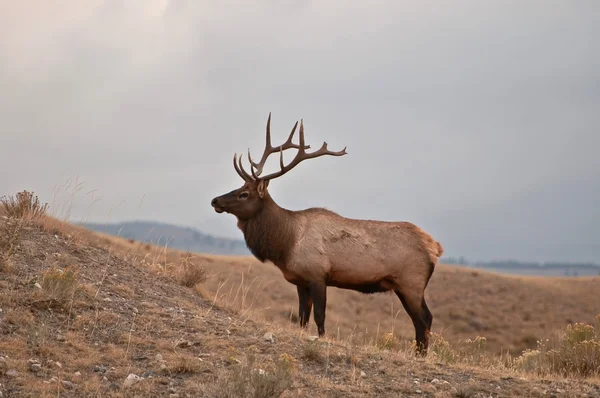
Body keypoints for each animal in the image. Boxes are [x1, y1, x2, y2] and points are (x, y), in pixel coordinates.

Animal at [210, 113, 440, 356]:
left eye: (244, 194)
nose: (215, 200)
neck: (286, 244)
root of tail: (435, 247)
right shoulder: (300, 280)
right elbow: (302, 318)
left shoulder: (318, 275)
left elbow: (320, 317)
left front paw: (320, 340)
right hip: (404, 287)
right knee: (422, 321)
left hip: (411, 283)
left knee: (425, 319)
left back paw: (422, 355)